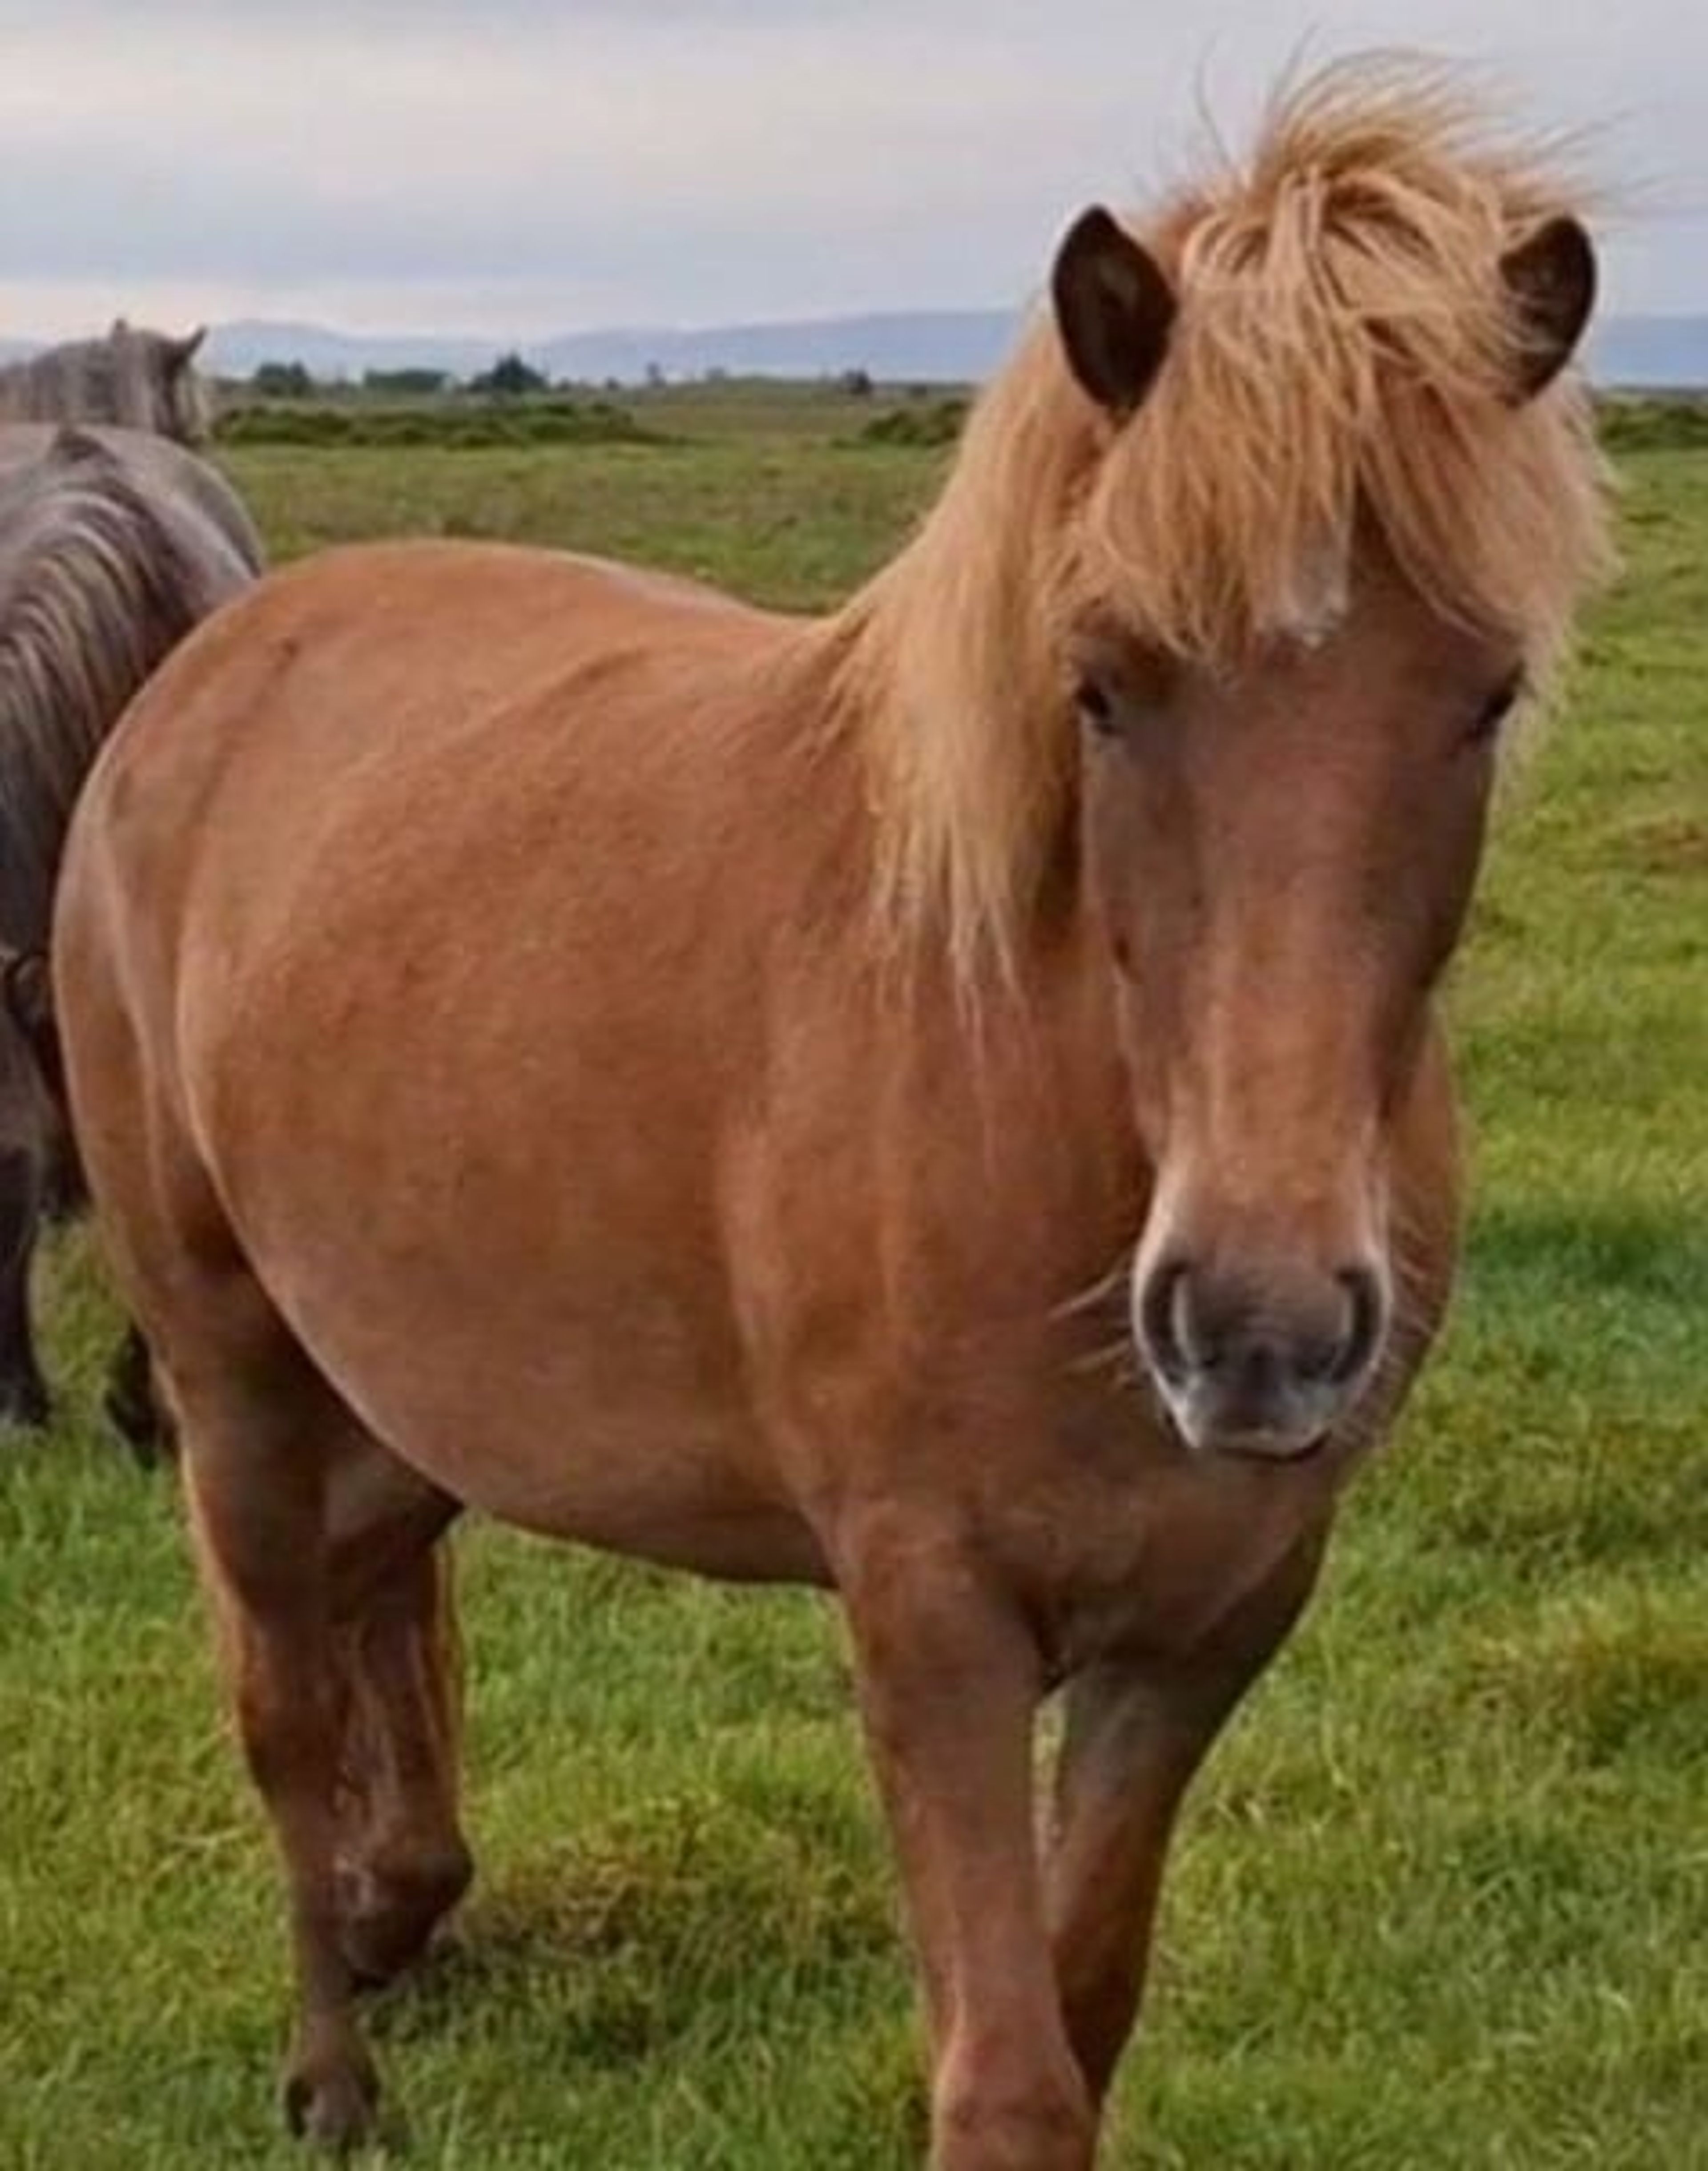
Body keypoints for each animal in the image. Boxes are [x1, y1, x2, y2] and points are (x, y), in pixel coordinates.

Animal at [53, 61, 1611, 2167]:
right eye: (1103, 684)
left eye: (1485, 692)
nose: (1257, 1326)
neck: (1055, 1110)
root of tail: (205, 667)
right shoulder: (931, 1615)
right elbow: (1008, 2080)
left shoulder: (1200, 1630)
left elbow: (1081, 2012)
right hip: (227, 1358)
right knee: (281, 1679)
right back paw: (331, 2060)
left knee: (383, 1569)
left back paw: (398, 1907)